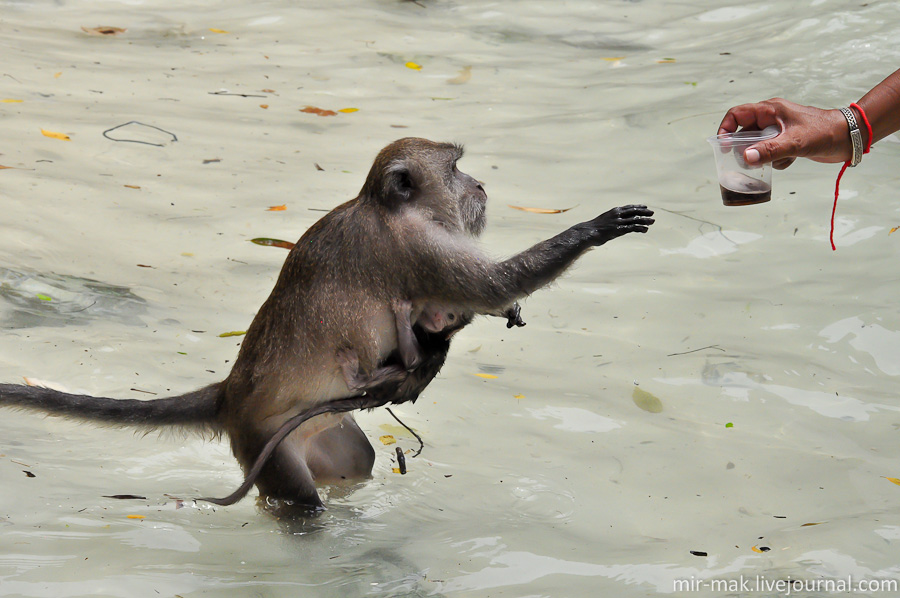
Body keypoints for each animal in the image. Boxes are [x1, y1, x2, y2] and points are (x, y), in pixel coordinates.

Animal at [0, 139, 652, 510]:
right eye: (457, 169)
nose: (481, 184)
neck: (387, 209)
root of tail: (230, 393)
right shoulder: (420, 248)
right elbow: (489, 284)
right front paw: (596, 228)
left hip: (319, 433)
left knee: (354, 461)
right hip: (263, 442)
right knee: (297, 504)